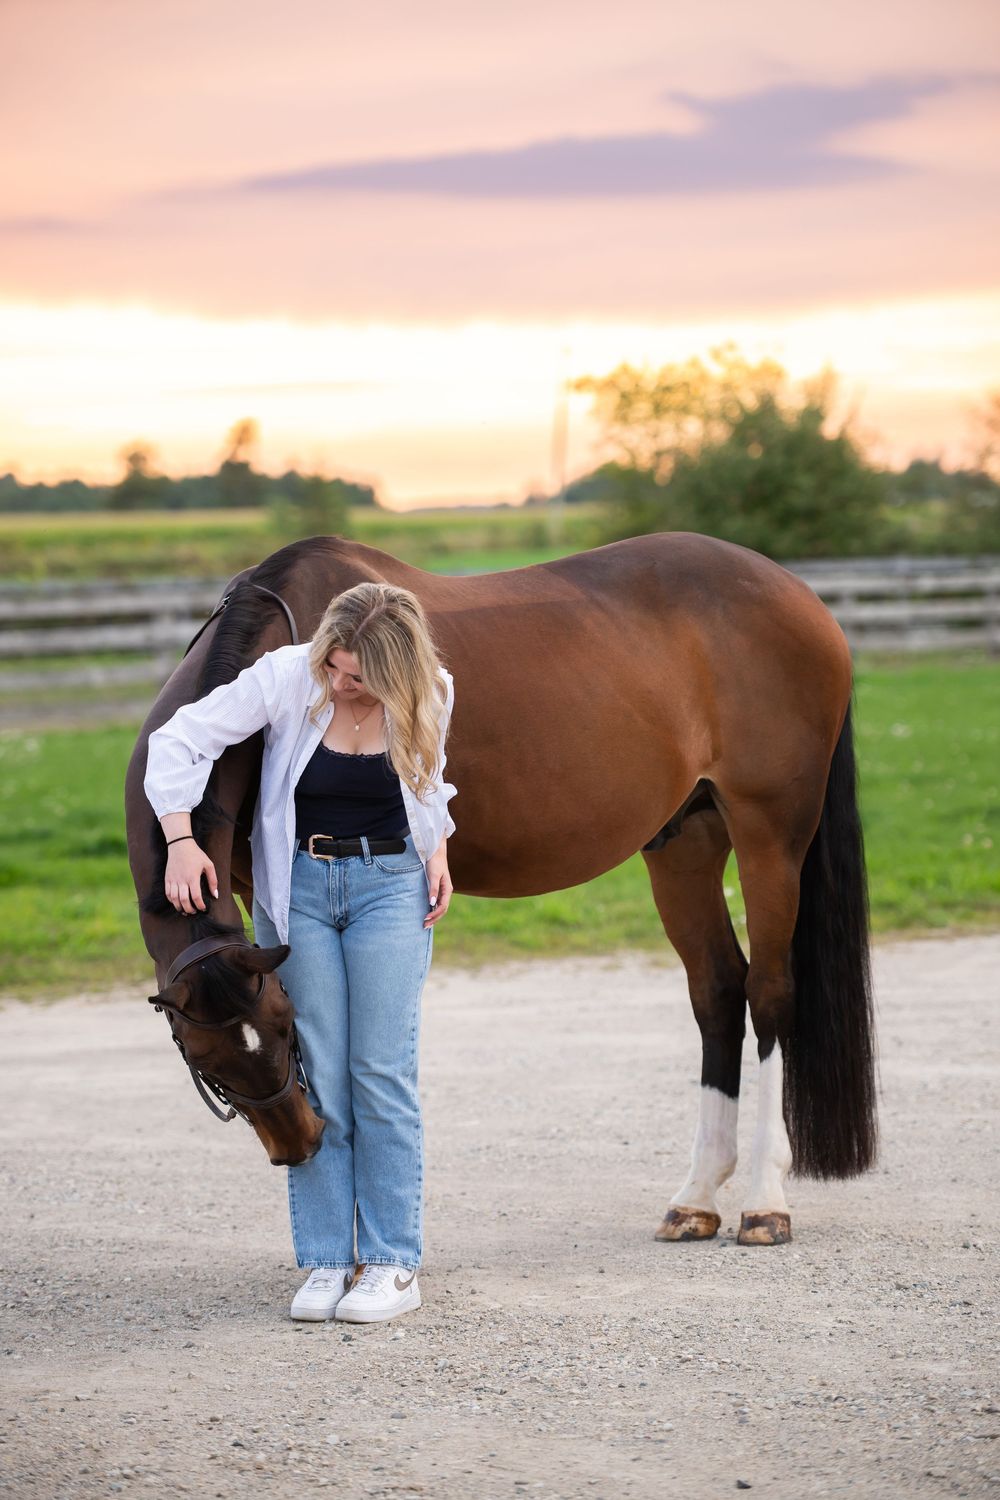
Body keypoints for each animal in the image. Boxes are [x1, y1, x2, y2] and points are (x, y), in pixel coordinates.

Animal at [125, 530, 877, 1245]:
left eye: (282, 1028)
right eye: (207, 1062)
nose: (298, 1144)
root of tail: (799, 596)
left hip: (769, 832)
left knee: (769, 994)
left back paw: (764, 1202)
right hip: (685, 840)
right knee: (718, 991)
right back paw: (695, 1199)